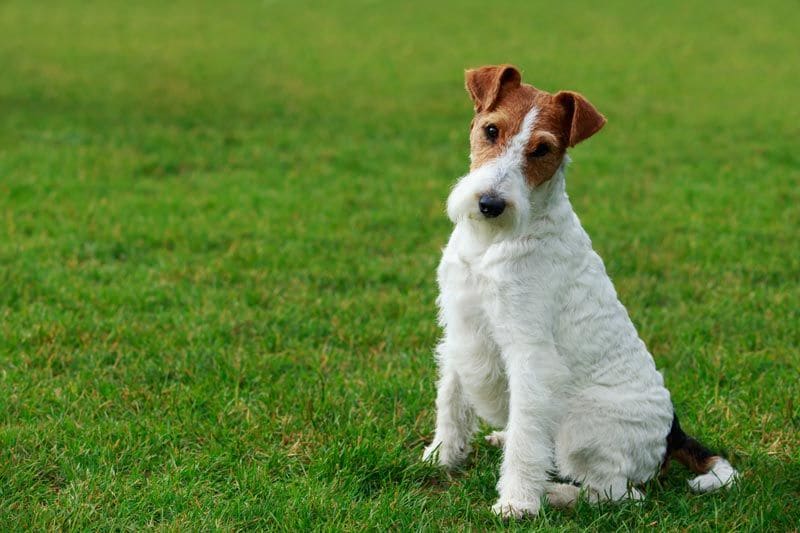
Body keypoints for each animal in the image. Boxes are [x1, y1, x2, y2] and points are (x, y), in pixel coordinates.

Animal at [422, 64, 740, 516]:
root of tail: (672, 433)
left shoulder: (530, 353)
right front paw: (441, 457)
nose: (490, 204)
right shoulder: (459, 324)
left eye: (542, 149)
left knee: (615, 493)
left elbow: (526, 441)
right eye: (490, 130)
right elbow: (450, 401)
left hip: (582, 427)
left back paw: (552, 493)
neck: (491, 242)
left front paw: (516, 503)